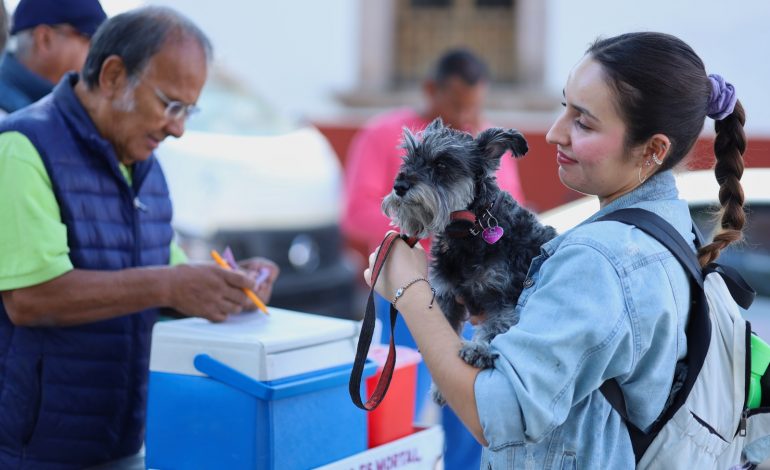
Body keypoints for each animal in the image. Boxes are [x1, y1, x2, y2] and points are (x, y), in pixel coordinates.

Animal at [380, 117, 556, 400]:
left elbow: (497, 328)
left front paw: (479, 350)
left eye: (441, 164)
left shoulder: (503, 298)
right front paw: (440, 388)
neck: (470, 230)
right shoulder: (447, 297)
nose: (399, 186)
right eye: (408, 158)